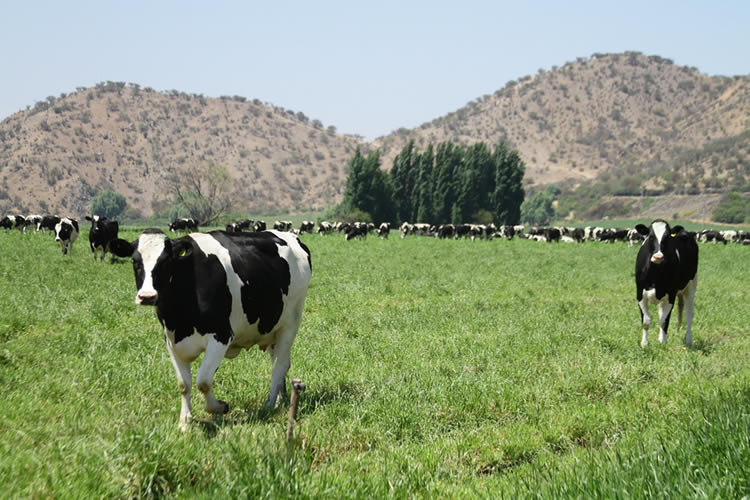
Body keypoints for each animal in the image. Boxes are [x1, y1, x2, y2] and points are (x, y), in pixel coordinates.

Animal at [110, 229, 312, 430]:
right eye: (135, 262)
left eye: (165, 261)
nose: (147, 296)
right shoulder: (171, 340)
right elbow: (184, 384)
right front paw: (184, 422)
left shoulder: (221, 336)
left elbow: (203, 381)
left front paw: (219, 407)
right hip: (271, 330)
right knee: (278, 362)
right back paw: (279, 399)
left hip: (290, 324)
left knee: (280, 365)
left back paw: (269, 405)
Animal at [636, 221, 704, 350]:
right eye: (650, 237)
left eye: (667, 237)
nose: (658, 257)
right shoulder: (640, 294)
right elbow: (646, 321)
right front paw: (644, 344)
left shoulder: (671, 295)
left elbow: (664, 321)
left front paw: (663, 342)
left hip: (691, 286)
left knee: (689, 314)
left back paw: (688, 339)